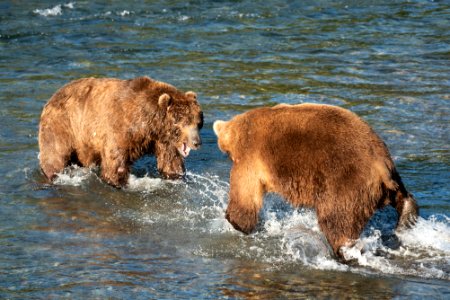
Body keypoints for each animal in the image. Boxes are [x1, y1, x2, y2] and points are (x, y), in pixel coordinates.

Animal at [38, 76, 204, 186]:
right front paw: (117, 181)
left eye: (198, 122)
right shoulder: (119, 127)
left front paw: (177, 175)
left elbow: (170, 161)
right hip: (63, 125)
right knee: (55, 154)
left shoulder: (163, 140)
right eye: (183, 122)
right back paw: (53, 174)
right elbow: (116, 162)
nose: (197, 142)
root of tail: (52, 97)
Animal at [214, 103, 418, 258]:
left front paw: (236, 221)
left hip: (346, 182)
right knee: (403, 197)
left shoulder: (250, 156)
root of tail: (381, 165)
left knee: (337, 220)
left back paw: (342, 251)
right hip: (388, 181)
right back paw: (406, 218)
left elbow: (245, 193)